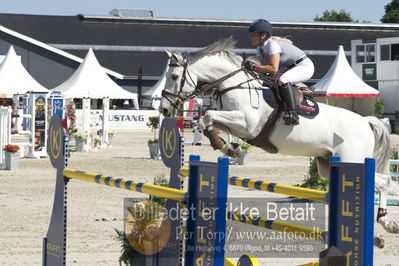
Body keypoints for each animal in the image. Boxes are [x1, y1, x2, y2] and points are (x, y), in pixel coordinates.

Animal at [160, 37, 399, 235]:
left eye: (174, 76)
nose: (164, 109)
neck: (233, 85)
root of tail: (365, 121)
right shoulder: (235, 123)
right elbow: (207, 120)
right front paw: (227, 146)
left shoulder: (247, 123)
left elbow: (207, 115)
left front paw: (226, 147)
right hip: (328, 163)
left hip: (353, 159)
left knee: (384, 181)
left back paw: (386, 221)